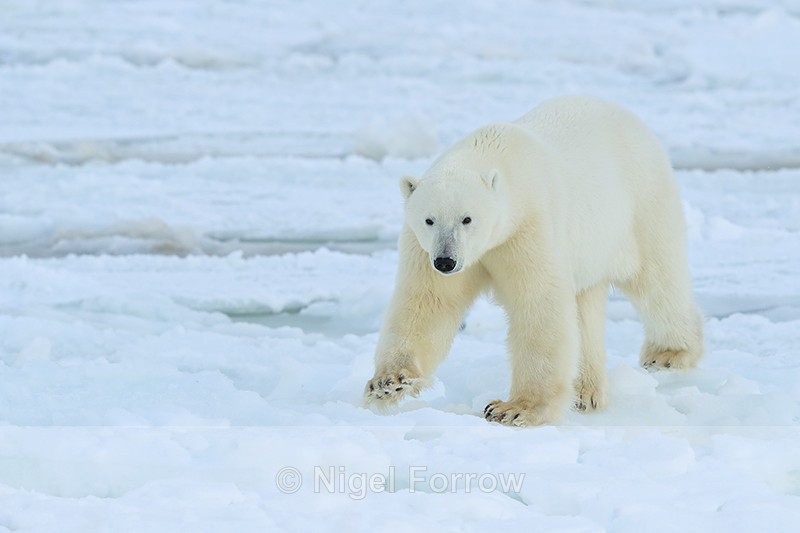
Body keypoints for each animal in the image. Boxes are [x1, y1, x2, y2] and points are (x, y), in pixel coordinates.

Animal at [364, 95, 703, 426]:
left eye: (467, 218)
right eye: (429, 219)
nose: (446, 261)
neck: (495, 154)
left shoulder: (529, 227)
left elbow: (538, 304)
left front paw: (513, 409)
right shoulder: (425, 249)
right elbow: (427, 302)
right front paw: (389, 383)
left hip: (641, 205)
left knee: (658, 280)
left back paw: (668, 354)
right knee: (585, 307)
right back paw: (585, 393)